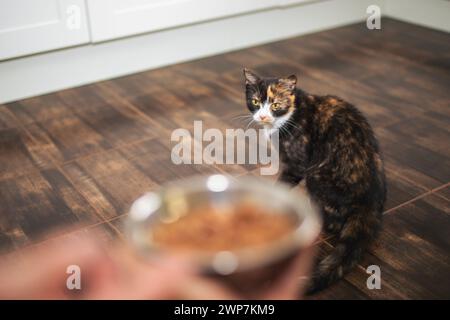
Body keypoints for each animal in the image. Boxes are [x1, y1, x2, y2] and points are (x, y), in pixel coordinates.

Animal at [243, 69, 386, 294]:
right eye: (256, 101)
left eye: (275, 105)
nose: (263, 116)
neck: (291, 113)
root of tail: (369, 203)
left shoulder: (296, 165)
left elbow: (282, 186)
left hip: (315, 177)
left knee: (332, 223)